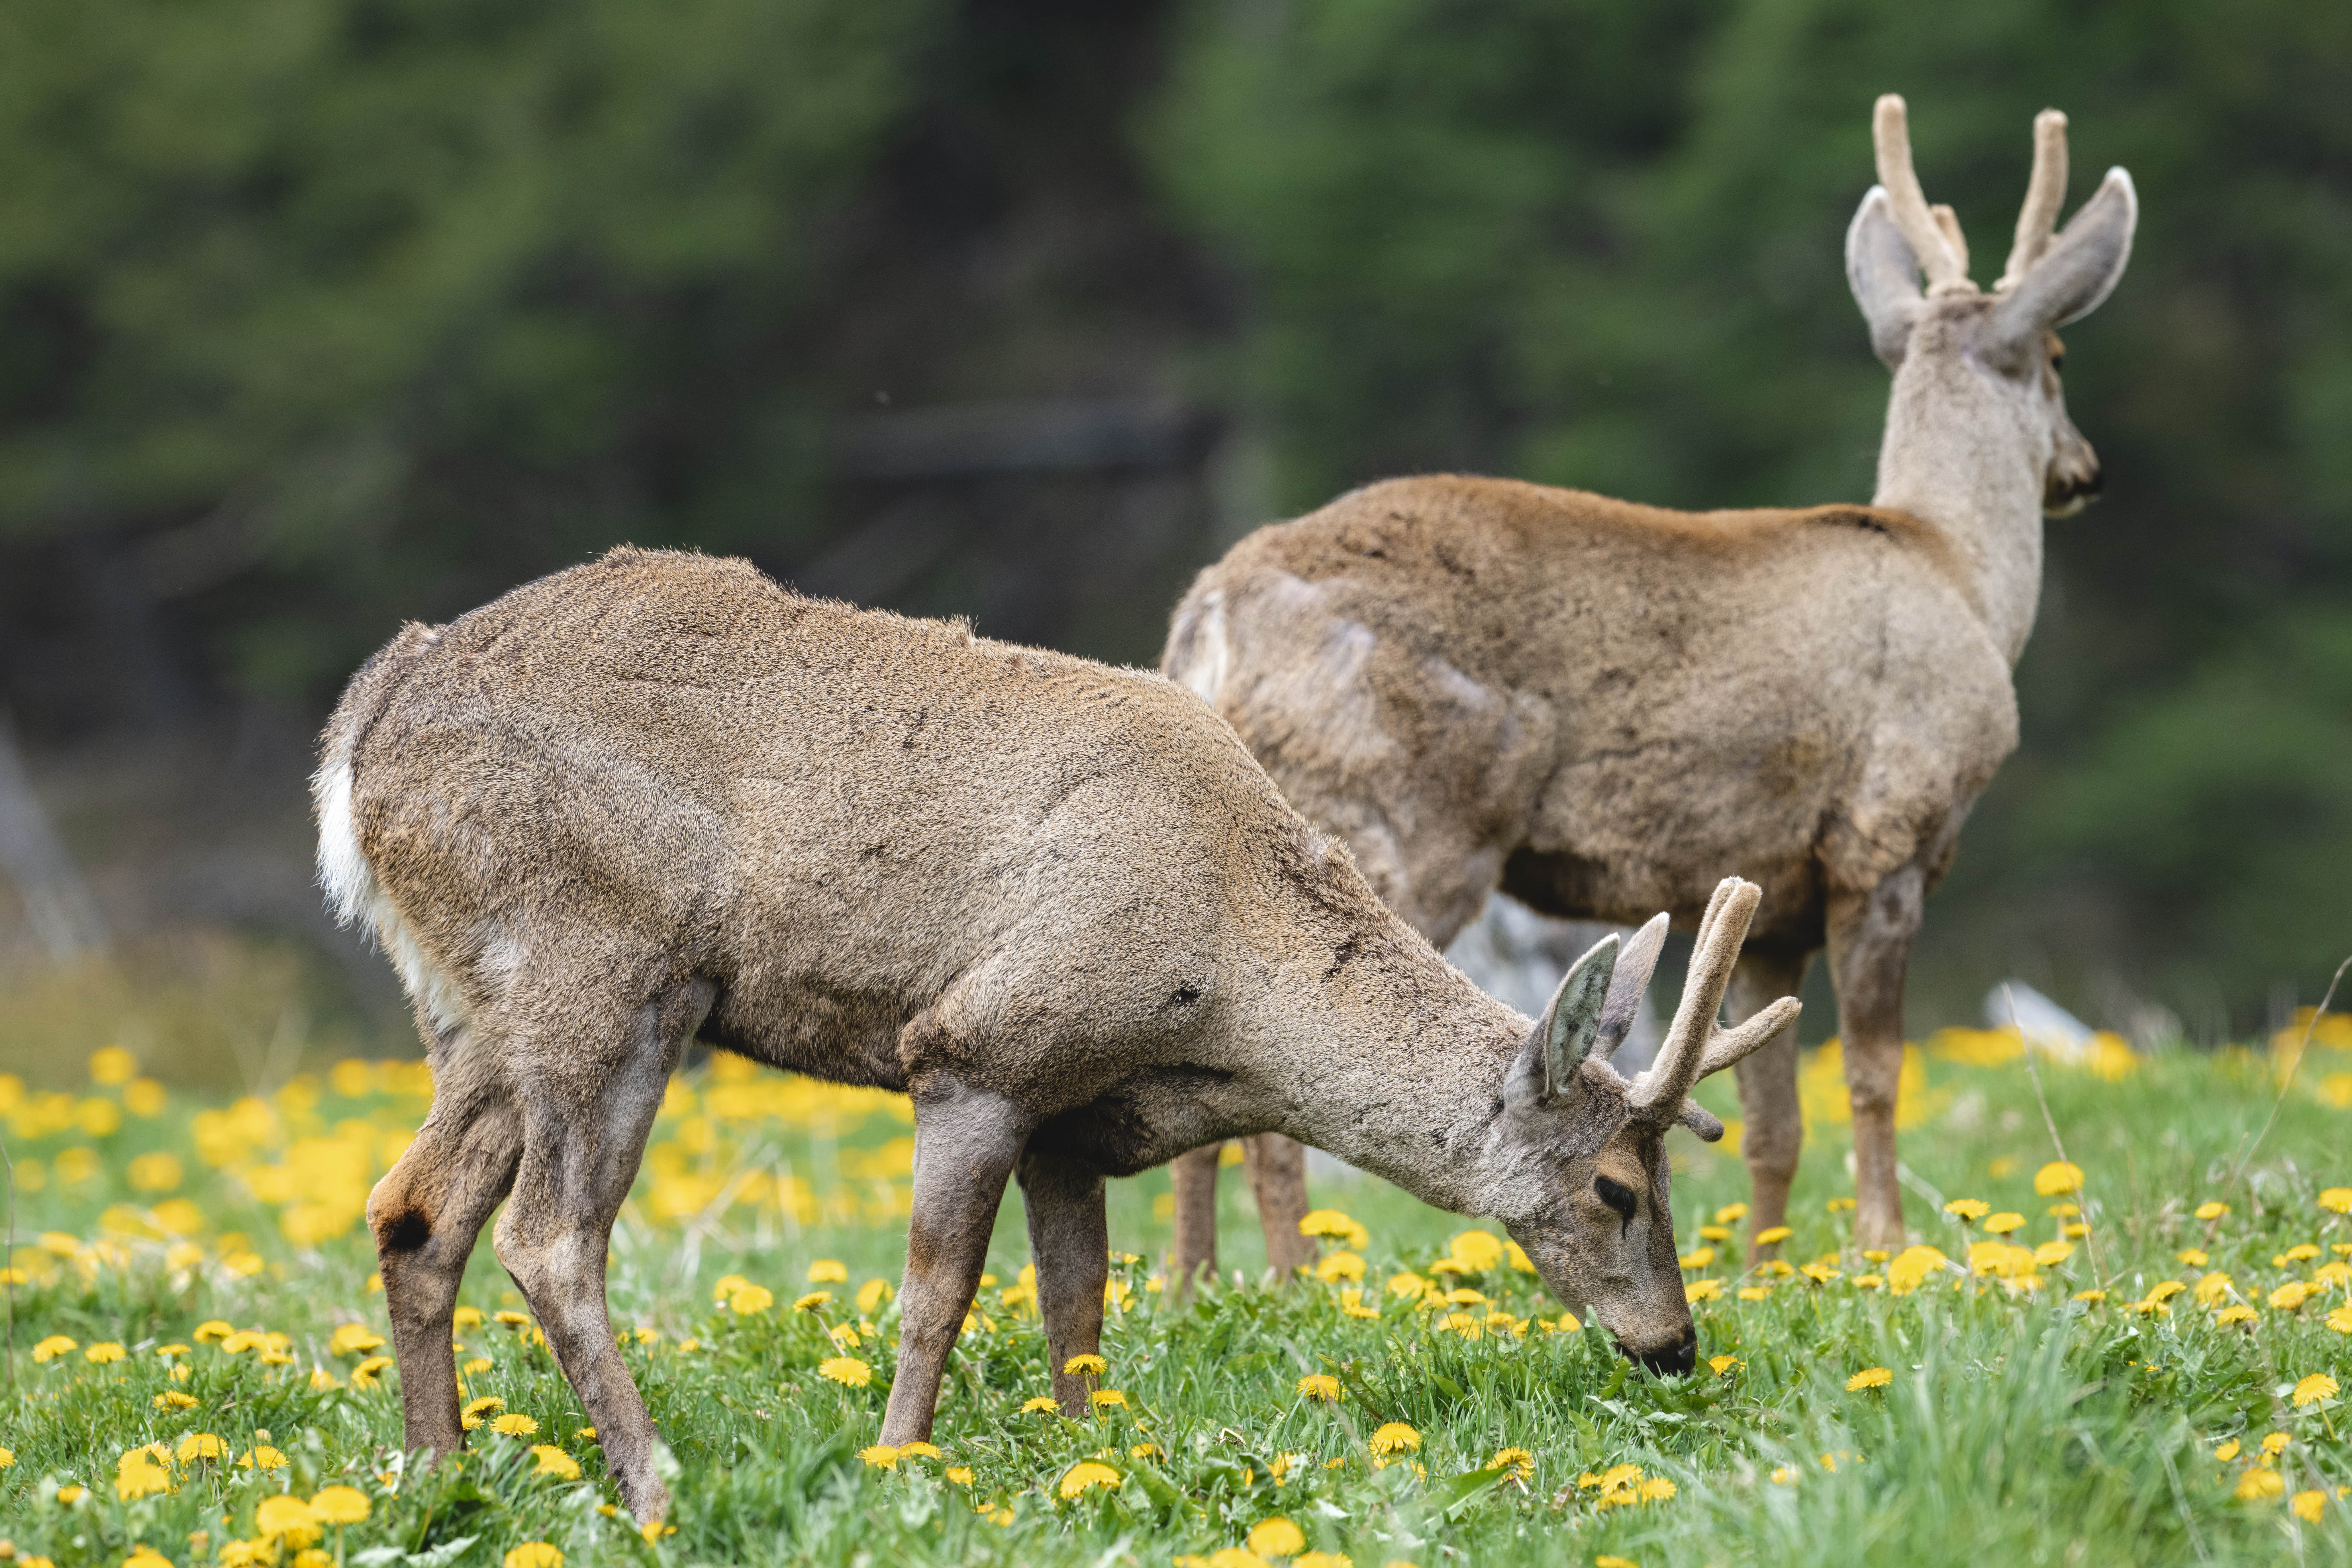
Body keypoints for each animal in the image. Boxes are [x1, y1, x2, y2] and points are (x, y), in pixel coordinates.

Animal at [313, 544, 1798, 1524]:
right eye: (1614, 1188)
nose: (1676, 1344)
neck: (1223, 968)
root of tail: (360, 728)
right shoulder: (978, 1048)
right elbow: (937, 1293)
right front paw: (902, 1468)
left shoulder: (1073, 1119)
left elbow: (1076, 1310)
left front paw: (1093, 1466)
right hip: (602, 966)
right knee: (549, 1238)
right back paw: (654, 1484)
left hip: (471, 1008)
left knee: (412, 1207)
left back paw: (438, 1477)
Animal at [1162, 95, 2137, 1265]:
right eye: (2058, 353)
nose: (2084, 470)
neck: (1957, 570)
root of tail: (1211, 610)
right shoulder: (1885, 833)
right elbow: (1872, 1074)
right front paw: (1884, 1246)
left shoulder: (1772, 896)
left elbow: (1774, 1119)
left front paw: (1769, 1267)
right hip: (1389, 813)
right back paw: (1294, 1275)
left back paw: (1195, 1285)